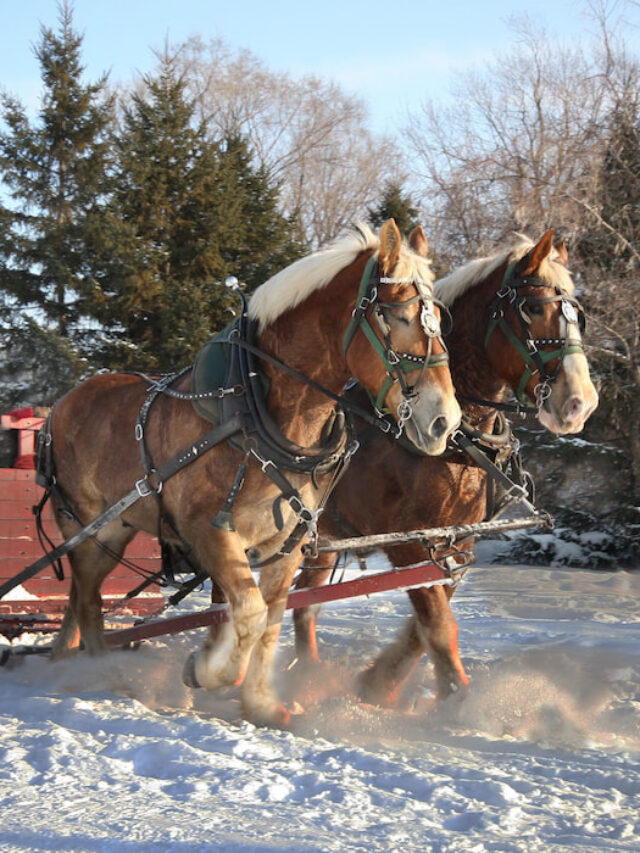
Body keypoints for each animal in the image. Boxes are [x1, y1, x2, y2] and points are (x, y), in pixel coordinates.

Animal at [44, 218, 461, 726]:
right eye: (394, 315)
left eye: (439, 318)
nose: (445, 420)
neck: (258, 410)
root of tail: (61, 404)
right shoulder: (209, 531)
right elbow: (248, 612)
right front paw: (206, 670)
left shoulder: (287, 543)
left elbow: (271, 619)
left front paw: (261, 704)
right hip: (87, 527)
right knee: (88, 601)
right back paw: (103, 672)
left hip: (116, 531)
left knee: (81, 599)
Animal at [292, 228, 599, 707]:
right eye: (532, 308)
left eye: (578, 317)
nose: (579, 403)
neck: (456, 443)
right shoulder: (407, 541)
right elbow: (436, 623)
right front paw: (457, 700)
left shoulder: (457, 542)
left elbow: (425, 627)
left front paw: (378, 683)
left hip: (324, 537)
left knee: (303, 604)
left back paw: (305, 678)